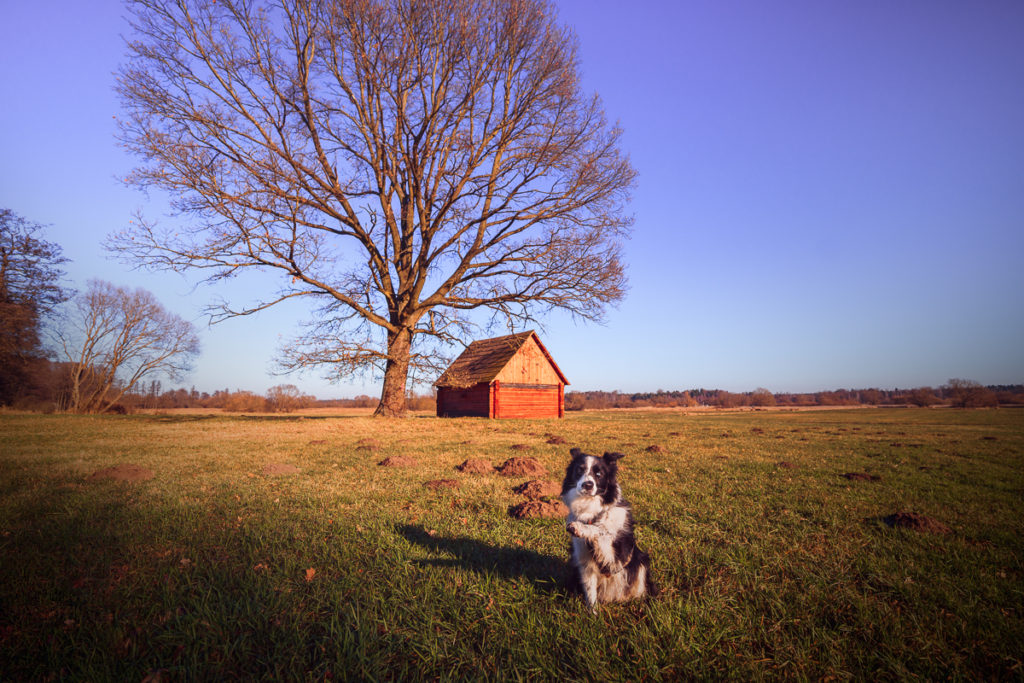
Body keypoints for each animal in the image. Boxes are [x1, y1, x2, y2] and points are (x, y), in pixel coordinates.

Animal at [561, 448, 655, 610]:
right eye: (579, 470)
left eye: (599, 474)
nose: (587, 485)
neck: (591, 507)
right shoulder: (584, 562)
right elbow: (590, 591)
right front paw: (592, 613)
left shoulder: (616, 558)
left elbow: (601, 531)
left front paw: (581, 528)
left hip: (641, 562)